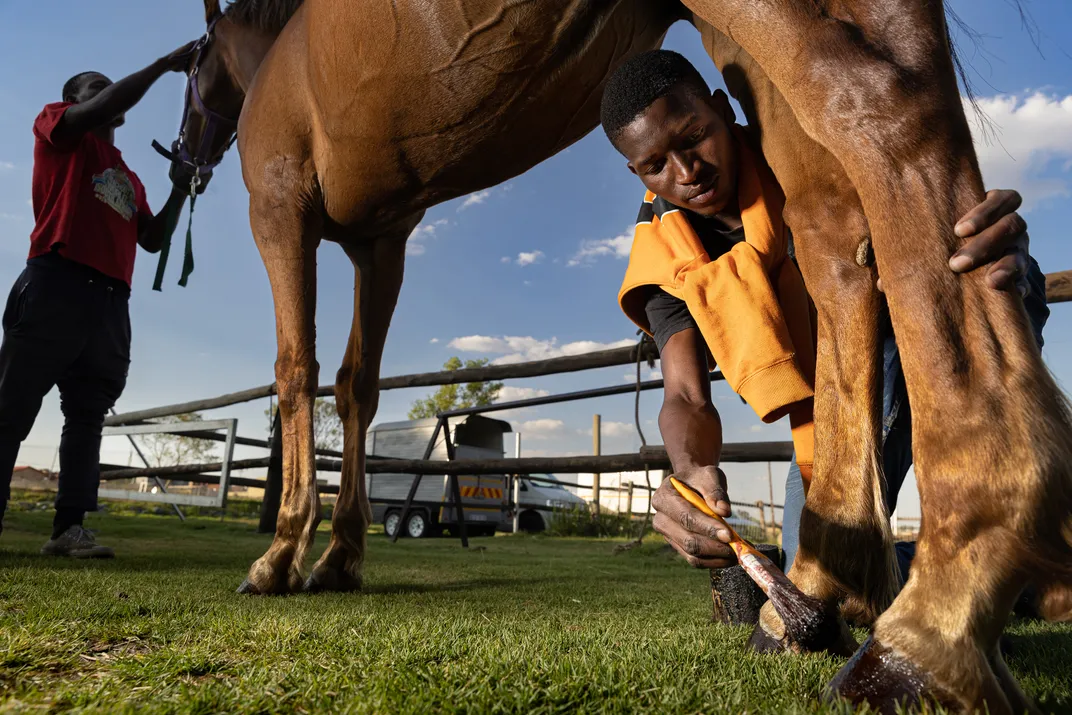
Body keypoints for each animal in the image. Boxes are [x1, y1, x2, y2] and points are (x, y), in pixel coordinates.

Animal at [165, 1, 1072, 711]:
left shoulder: (280, 201)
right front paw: (340, 558)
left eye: (192, 66)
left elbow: (296, 372)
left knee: (883, 114)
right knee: (834, 229)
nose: (184, 155)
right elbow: (359, 383)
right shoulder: (381, 238)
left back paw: (933, 619)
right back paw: (829, 587)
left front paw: (280, 556)